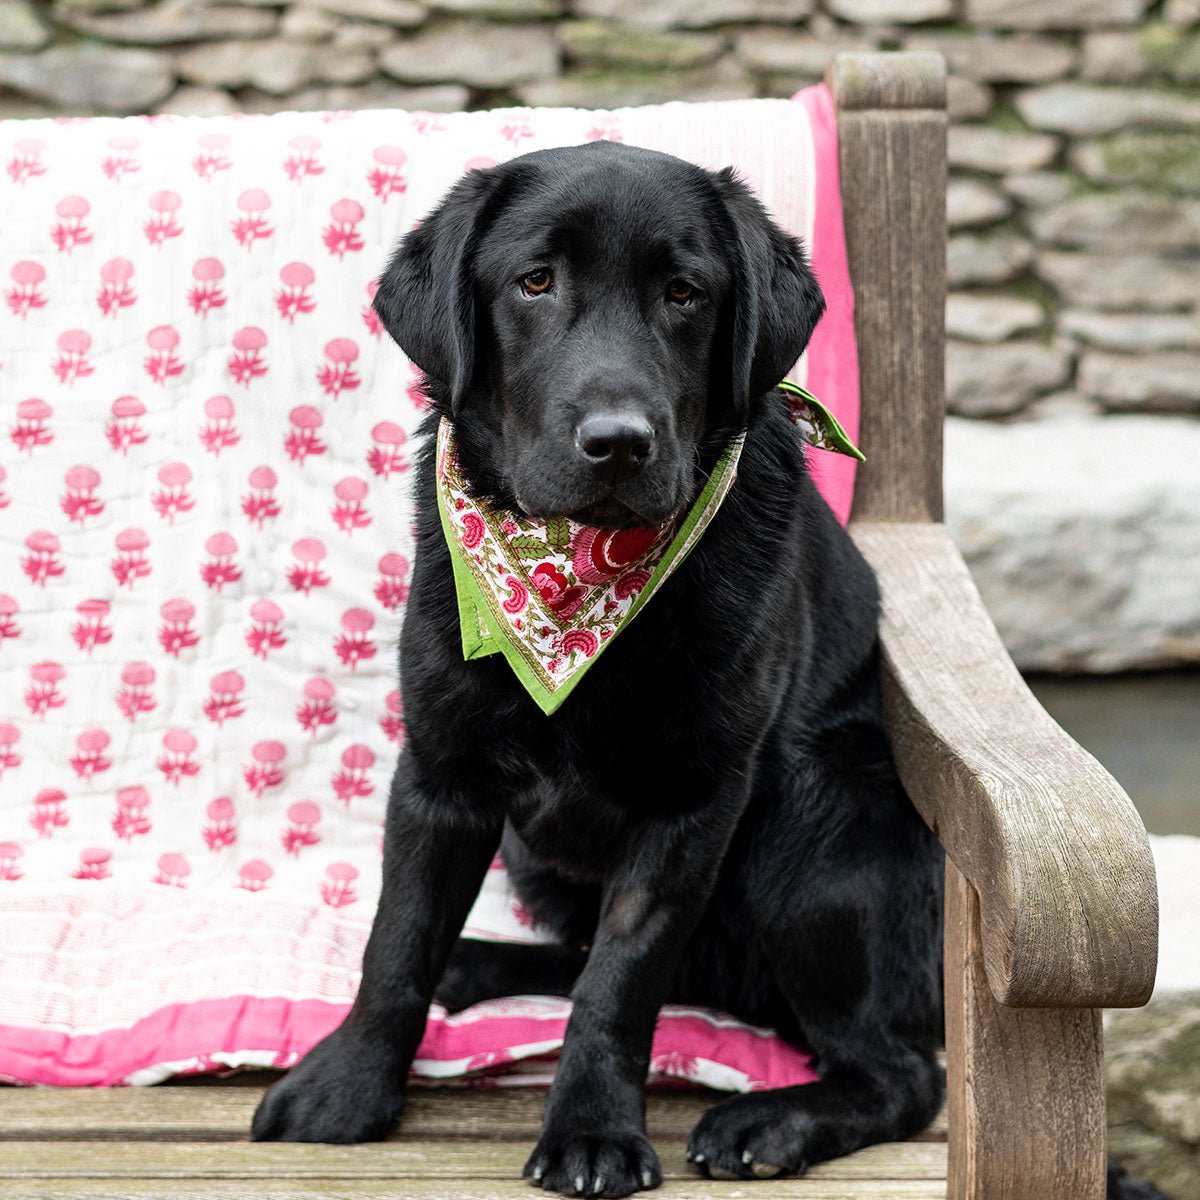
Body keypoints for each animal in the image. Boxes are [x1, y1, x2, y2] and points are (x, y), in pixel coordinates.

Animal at [253, 138, 945, 1190]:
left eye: (685, 293)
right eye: (535, 282)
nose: (618, 443)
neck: (583, 580)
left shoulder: (695, 800)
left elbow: (620, 982)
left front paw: (592, 1130)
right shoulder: (441, 769)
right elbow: (397, 941)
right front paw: (349, 1087)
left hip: (819, 830)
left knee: (902, 1071)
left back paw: (772, 1123)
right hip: (536, 855)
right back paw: (479, 965)